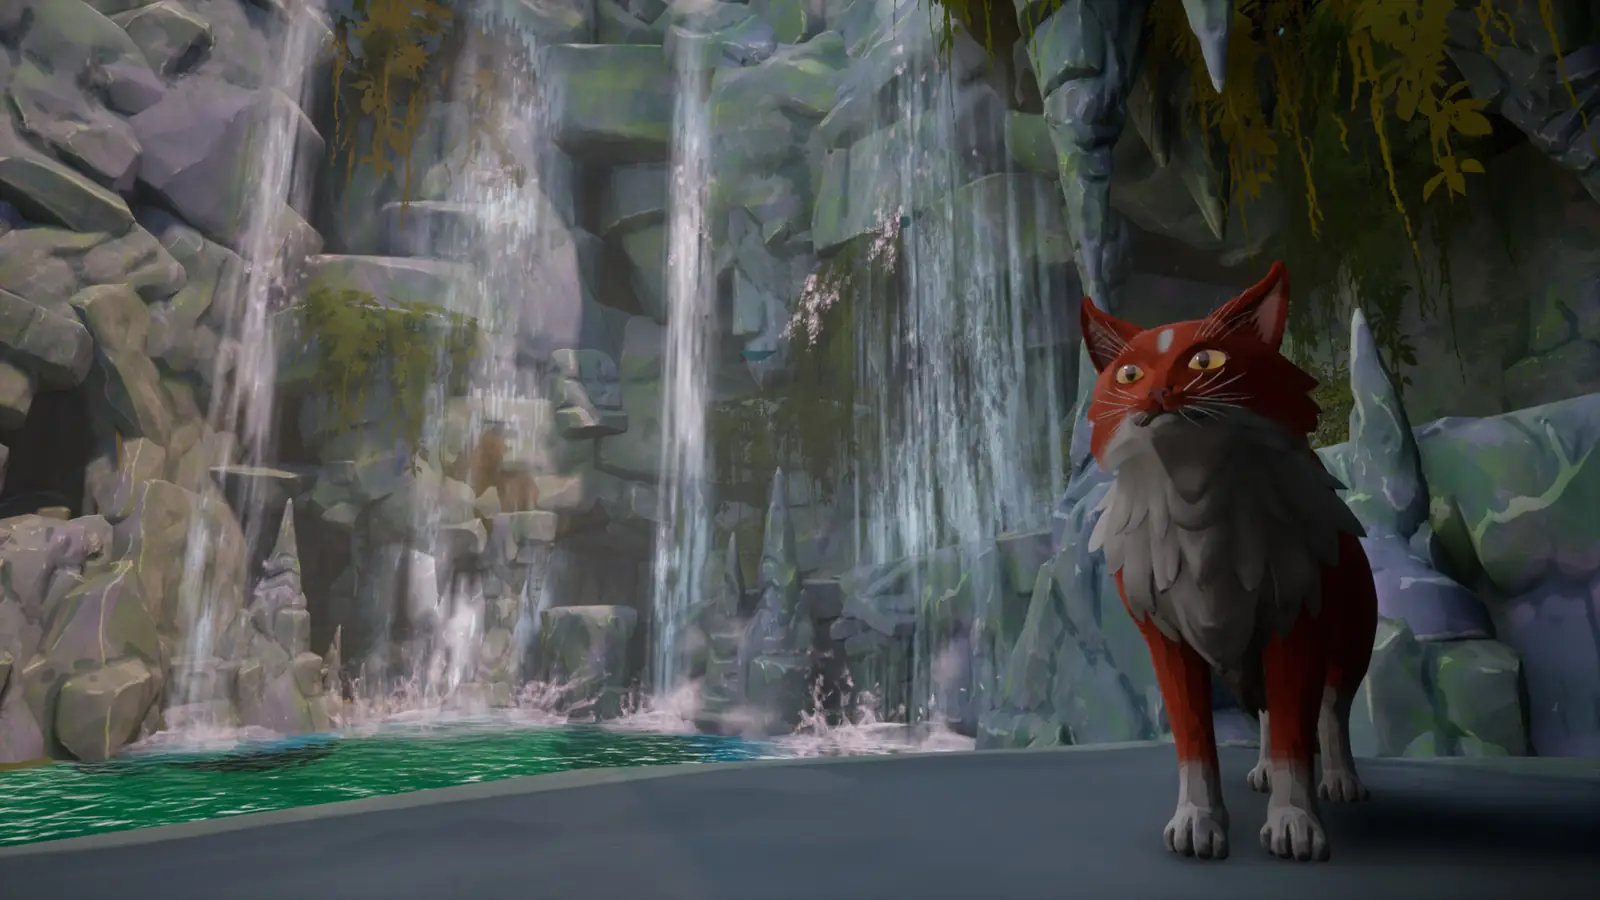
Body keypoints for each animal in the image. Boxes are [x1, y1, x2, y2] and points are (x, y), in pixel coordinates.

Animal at [1078, 261, 1378, 863]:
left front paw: (1294, 824)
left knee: (1332, 711)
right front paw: (1197, 822)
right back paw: (1261, 771)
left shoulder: (1297, 624)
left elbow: (1295, 733)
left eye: (1204, 360)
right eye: (1129, 374)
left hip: (1353, 641)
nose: (1158, 393)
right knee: (1265, 712)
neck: (1194, 500)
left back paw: (1340, 780)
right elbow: (1196, 740)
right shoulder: (1166, 638)